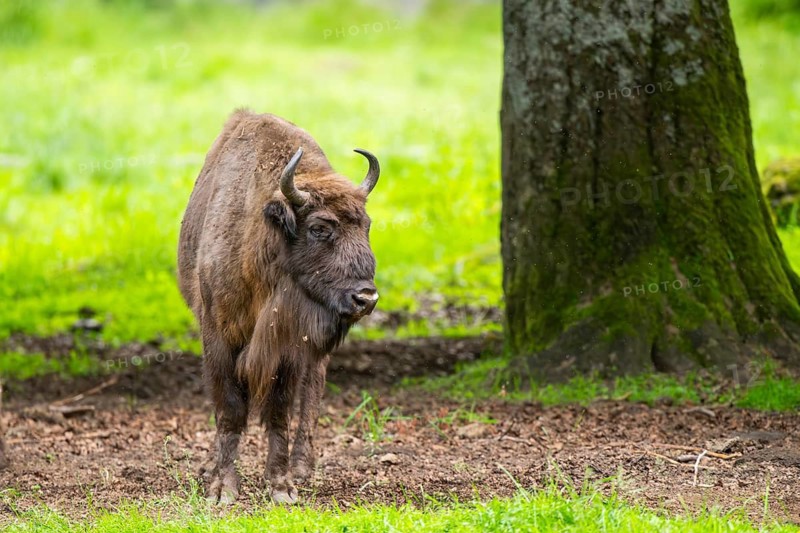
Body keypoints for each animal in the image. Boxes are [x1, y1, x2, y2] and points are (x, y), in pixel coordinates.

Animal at [178, 110, 380, 504]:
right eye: (319, 228)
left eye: (366, 225)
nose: (365, 298)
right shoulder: (218, 337)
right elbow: (229, 409)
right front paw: (222, 487)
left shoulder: (287, 348)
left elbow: (279, 411)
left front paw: (281, 486)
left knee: (312, 393)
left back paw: (302, 468)